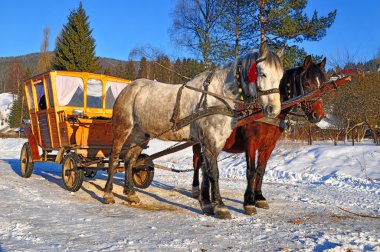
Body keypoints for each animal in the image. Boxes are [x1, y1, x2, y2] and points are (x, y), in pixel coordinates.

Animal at [102, 42, 284, 220]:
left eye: (281, 77)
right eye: (262, 74)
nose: (273, 109)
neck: (217, 96)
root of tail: (129, 88)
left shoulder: (213, 142)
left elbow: (206, 171)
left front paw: (207, 205)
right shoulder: (211, 141)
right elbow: (214, 173)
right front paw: (220, 207)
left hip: (141, 135)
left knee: (129, 160)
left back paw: (131, 193)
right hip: (122, 130)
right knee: (114, 158)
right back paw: (108, 193)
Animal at [193, 55, 326, 215]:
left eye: (322, 83)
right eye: (306, 83)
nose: (318, 115)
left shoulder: (268, 145)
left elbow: (261, 170)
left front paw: (259, 197)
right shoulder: (251, 142)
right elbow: (251, 171)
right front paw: (249, 201)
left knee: (205, 165)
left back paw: (205, 197)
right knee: (197, 162)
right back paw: (197, 191)